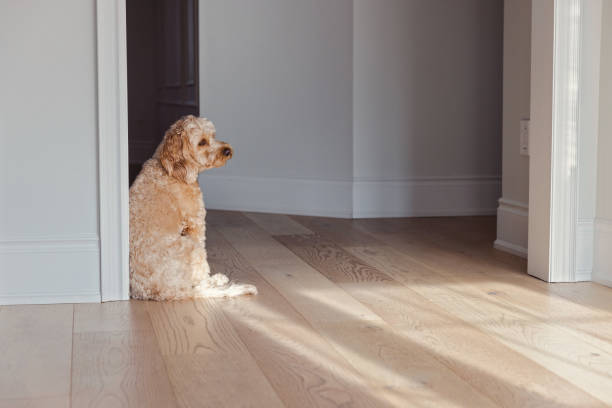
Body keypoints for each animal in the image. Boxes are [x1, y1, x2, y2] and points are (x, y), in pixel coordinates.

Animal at [129, 115, 256, 300]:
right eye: (202, 142)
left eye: (213, 135)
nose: (227, 150)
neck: (171, 171)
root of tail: (169, 292)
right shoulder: (196, 223)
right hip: (191, 246)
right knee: (200, 278)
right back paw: (216, 279)